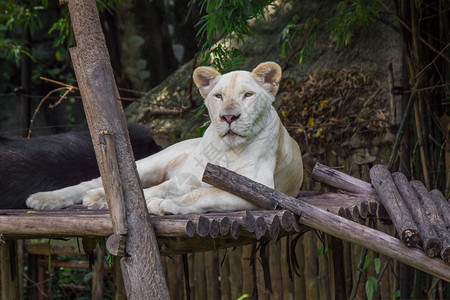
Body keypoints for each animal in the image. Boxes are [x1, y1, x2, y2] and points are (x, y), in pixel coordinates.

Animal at [27, 62, 302, 214]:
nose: (228, 117)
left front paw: (165, 205)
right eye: (219, 96)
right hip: (151, 162)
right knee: (100, 182)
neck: (228, 149)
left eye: (248, 95)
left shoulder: (261, 193)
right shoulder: (189, 178)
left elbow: (203, 195)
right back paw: (46, 199)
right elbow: (164, 191)